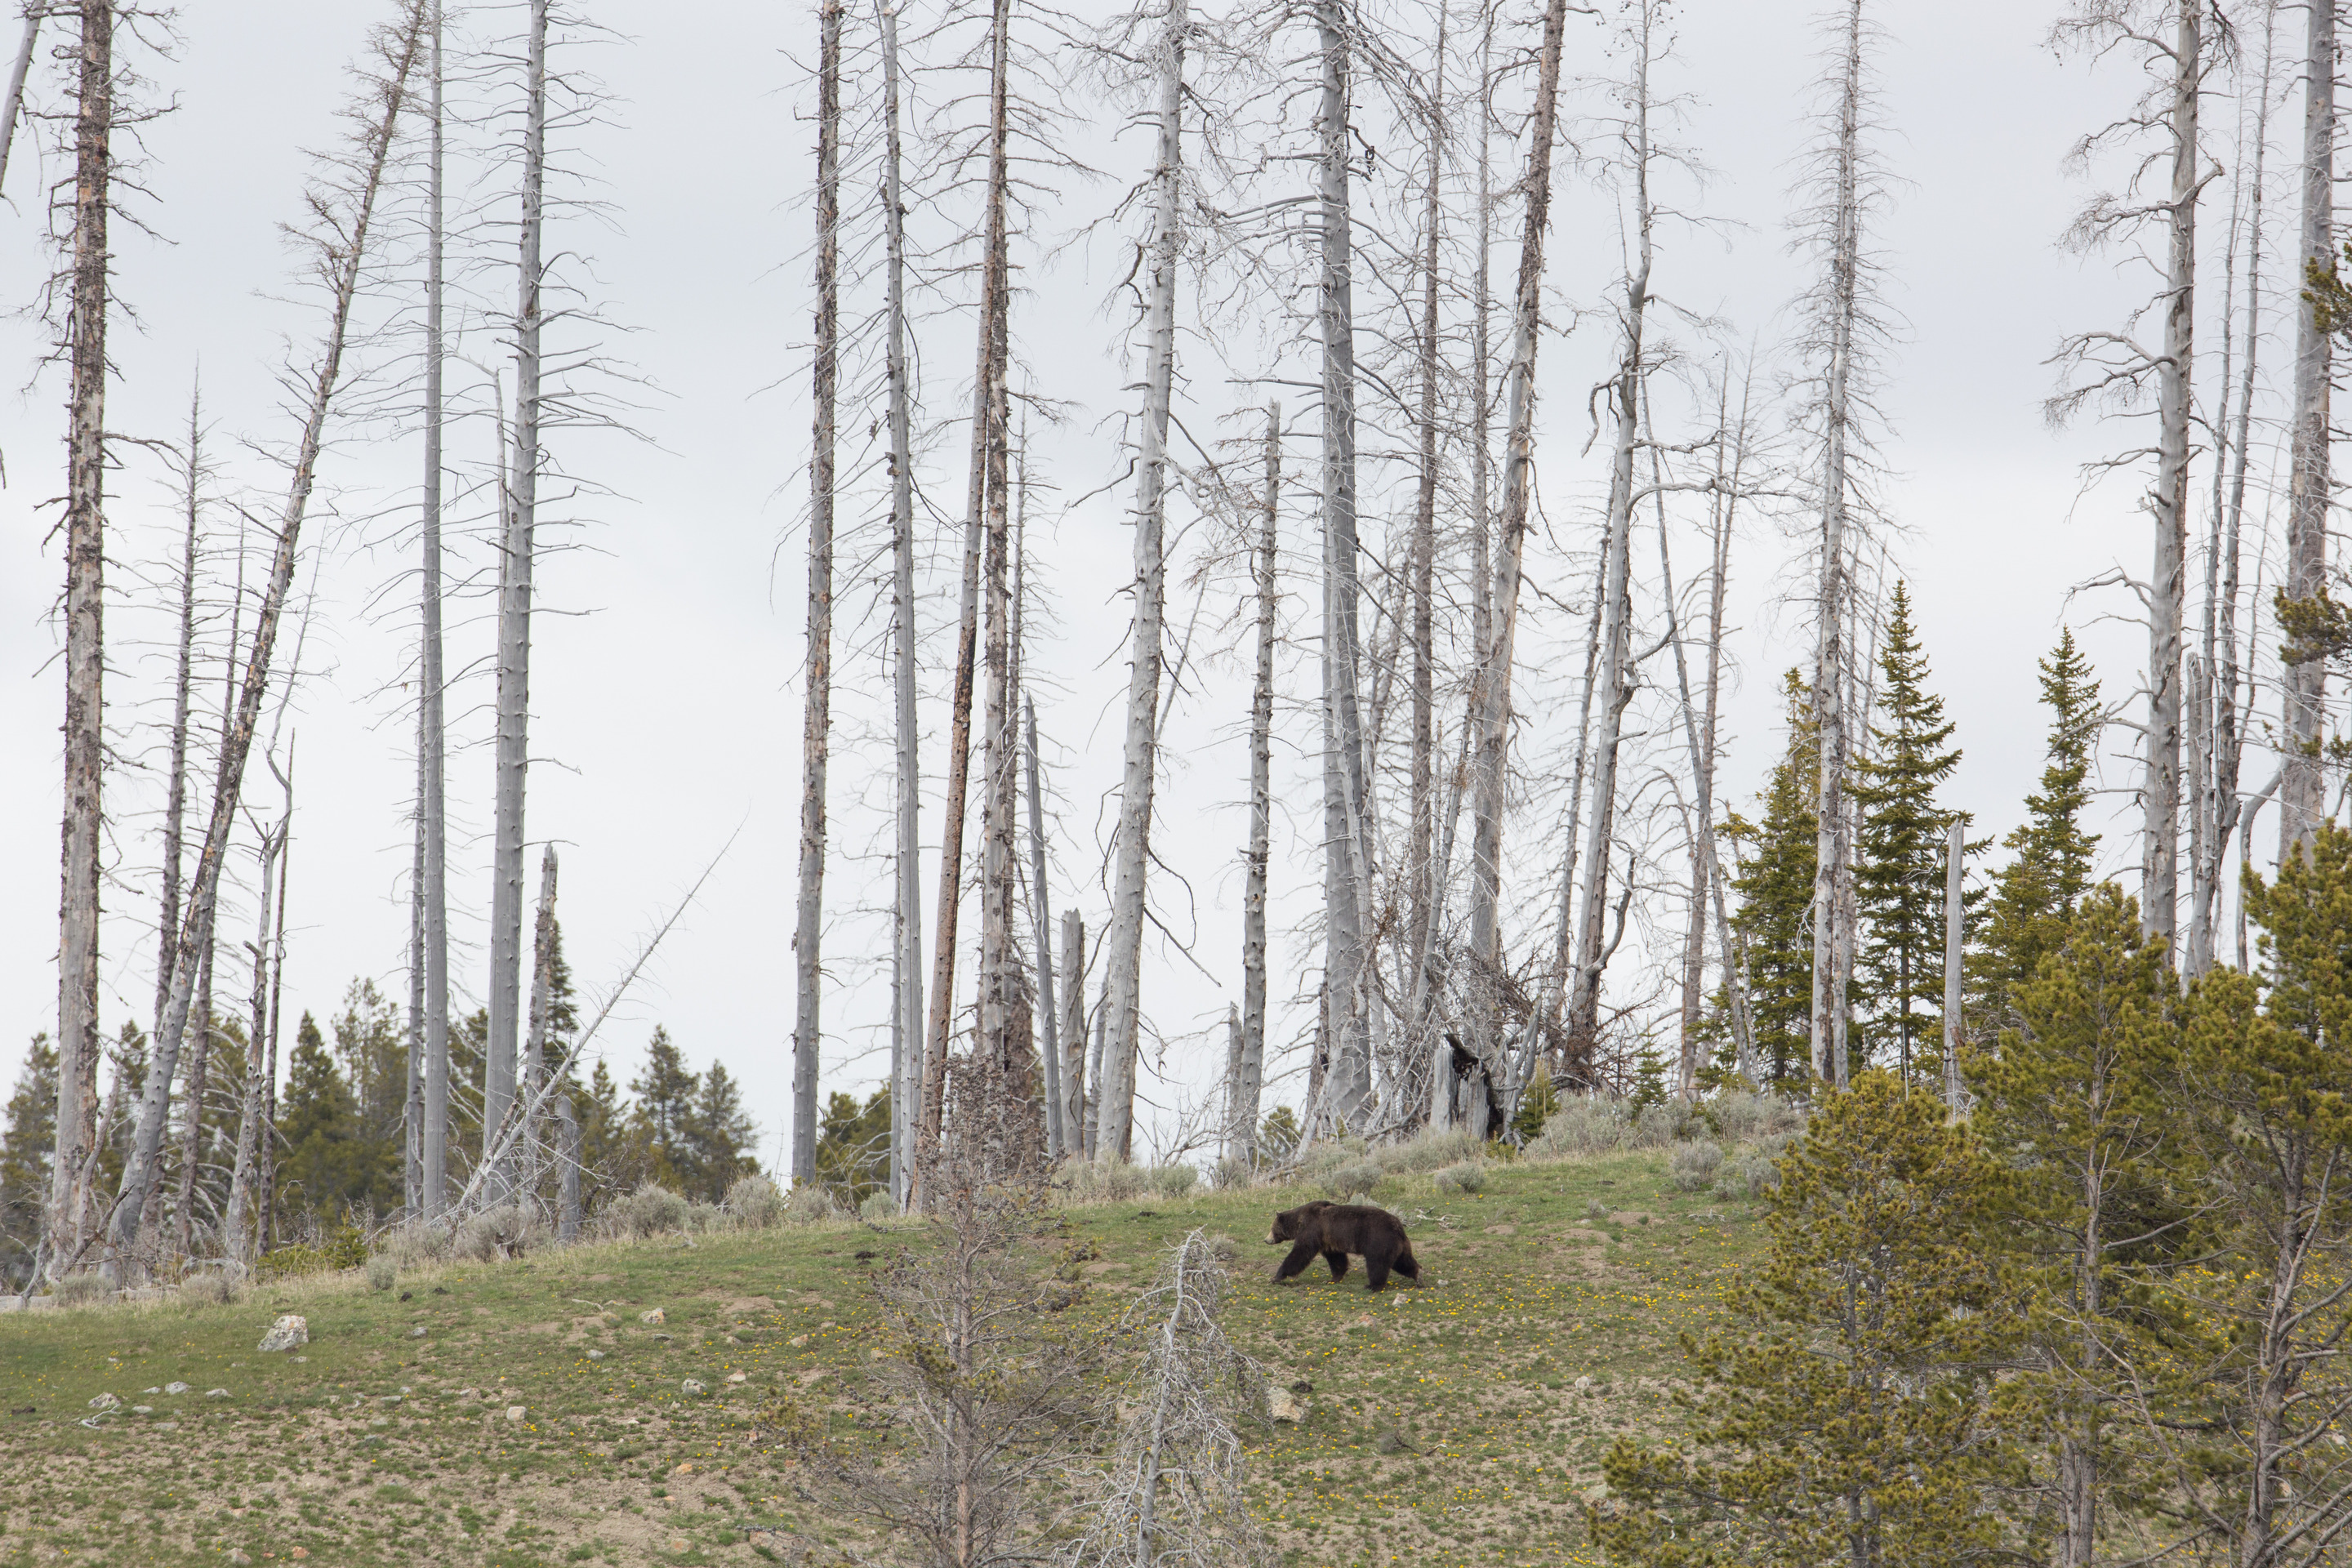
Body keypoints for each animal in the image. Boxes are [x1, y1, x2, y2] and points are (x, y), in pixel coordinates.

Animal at [1268, 1200, 1420, 1292]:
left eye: (1272, 1229)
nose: (1266, 1240)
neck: (1298, 1221)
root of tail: (1398, 1225)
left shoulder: (1312, 1228)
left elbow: (1300, 1252)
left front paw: (1276, 1277)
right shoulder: (1328, 1239)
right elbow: (1337, 1259)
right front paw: (1332, 1279)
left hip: (1378, 1240)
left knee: (1377, 1264)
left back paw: (1372, 1286)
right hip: (1398, 1245)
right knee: (1403, 1261)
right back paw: (1418, 1276)